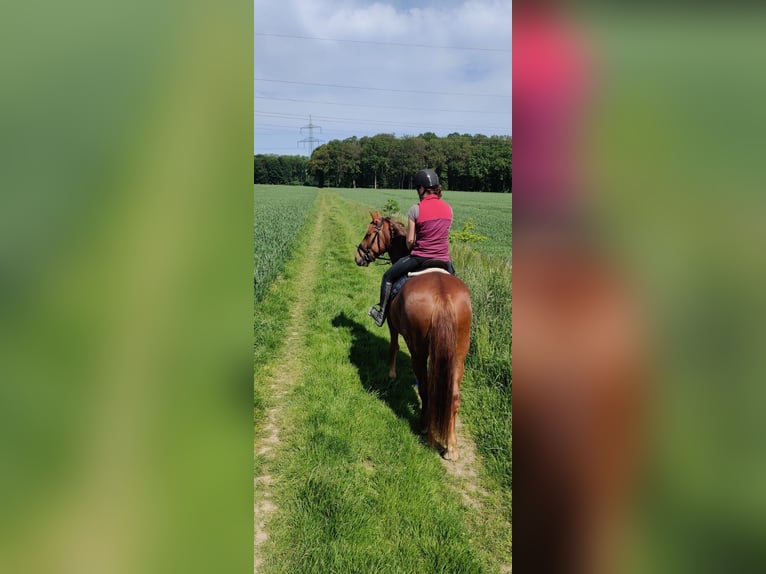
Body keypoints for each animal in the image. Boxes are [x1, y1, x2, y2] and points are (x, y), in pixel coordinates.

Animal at [354, 212, 472, 461]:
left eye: (369, 234)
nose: (358, 256)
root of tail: (443, 295)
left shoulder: (391, 324)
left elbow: (393, 346)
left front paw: (391, 374)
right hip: (459, 354)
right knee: (453, 396)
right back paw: (451, 447)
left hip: (419, 351)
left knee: (427, 389)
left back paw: (426, 430)